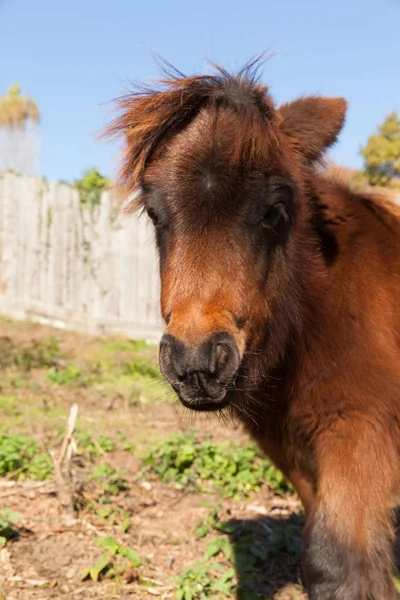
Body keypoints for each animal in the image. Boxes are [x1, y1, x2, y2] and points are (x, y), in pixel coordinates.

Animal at [105, 57, 400, 600]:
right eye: (156, 213)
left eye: (274, 212)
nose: (196, 364)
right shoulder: (295, 452)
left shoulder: (364, 431)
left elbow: (337, 560)